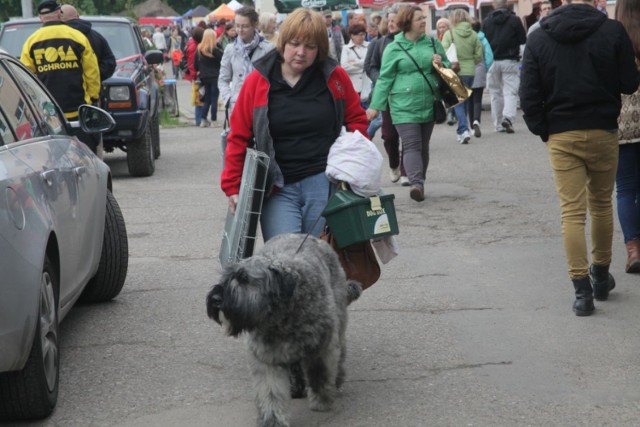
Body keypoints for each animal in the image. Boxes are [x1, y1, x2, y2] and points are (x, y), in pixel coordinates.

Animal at [208, 234, 362, 427]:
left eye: (244, 278)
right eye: (226, 276)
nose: (215, 298)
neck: (281, 317)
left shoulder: (321, 350)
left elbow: (320, 375)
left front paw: (322, 400)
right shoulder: (267, 359)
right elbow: (270, 392)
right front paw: (272, 420)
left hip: (338, 323)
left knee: (340, 352)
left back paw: (338, 378)